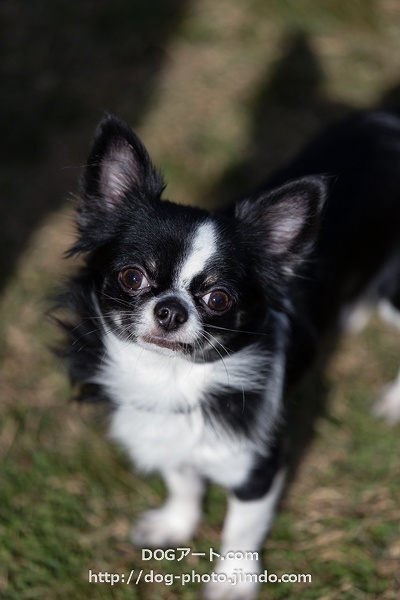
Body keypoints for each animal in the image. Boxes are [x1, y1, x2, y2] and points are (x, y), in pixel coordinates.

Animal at [55, 110, 400, 596]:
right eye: (131, 277)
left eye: (218, 299)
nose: (171, 309)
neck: (170, 374)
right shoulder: (171, 431)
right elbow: (183, 483)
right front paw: (175, 525)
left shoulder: (259, 468)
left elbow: (241, 529)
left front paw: (233, 581)